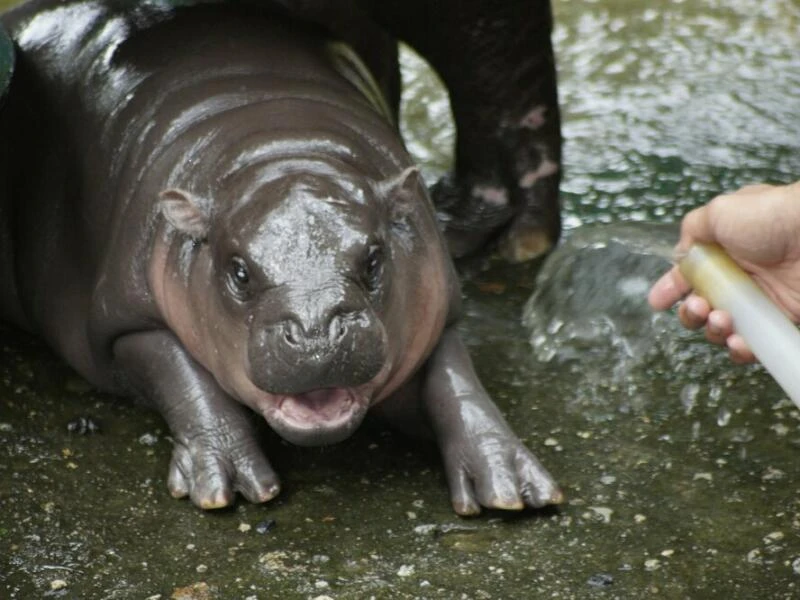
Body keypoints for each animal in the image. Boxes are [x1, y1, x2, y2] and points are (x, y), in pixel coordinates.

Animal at [0, 1, 564, 516]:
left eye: (374, 260)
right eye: (239, 272)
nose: (316, 334)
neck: (282, 148)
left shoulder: (436, 302)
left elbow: (456, 381)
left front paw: (510, 483)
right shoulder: (126, 320)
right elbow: (182, 376)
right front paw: (227, 482)